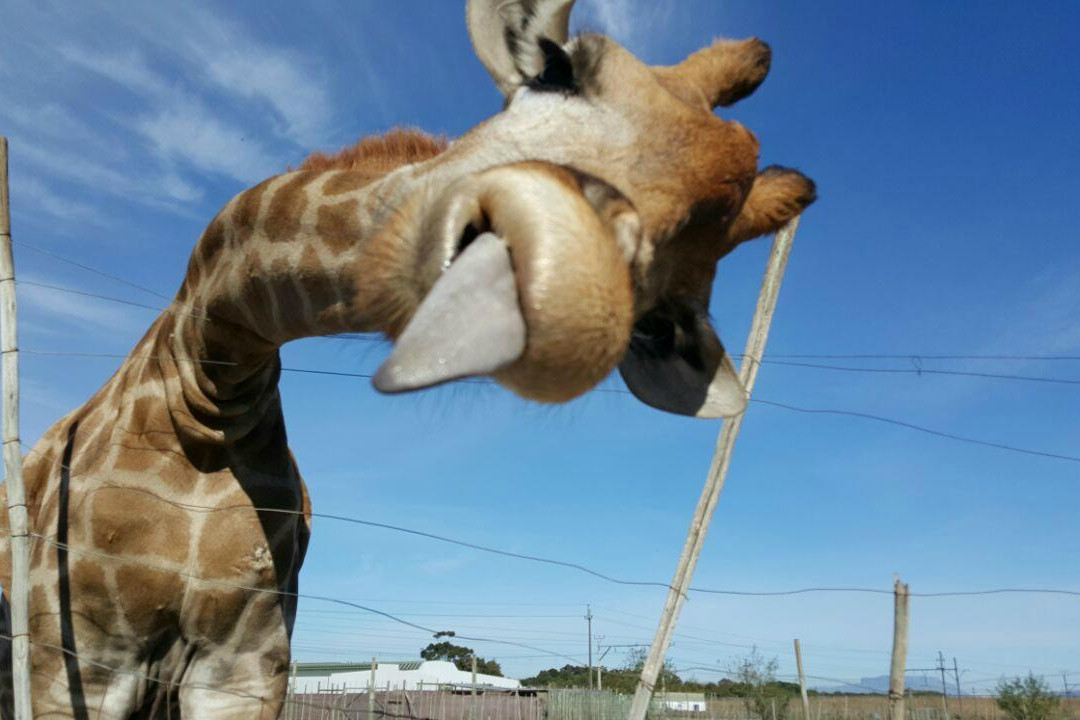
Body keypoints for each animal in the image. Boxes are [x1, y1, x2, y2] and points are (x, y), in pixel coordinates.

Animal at [0, 0, 815, 716]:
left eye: (657, 323)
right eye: (555, 72)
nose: (559, 299)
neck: (211, 382)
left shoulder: (246, 659)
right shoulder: (76, 654)